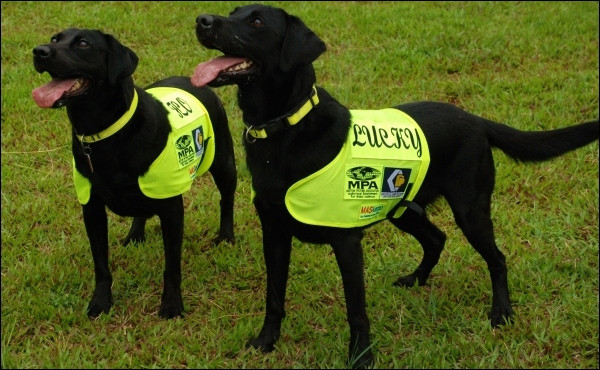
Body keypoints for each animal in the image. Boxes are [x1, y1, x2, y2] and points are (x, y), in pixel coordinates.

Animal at [31, 28, 237, 318]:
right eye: (54, 39)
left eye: (83, 43)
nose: (39, 51)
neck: (104, 135)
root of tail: (195, 80)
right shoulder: (91, 208)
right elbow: (101, 265)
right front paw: (100, 302)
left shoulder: (172, 209)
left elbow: (172, 267)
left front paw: (172, 305)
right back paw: (135, 235)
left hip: (223, 162)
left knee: (226, 199)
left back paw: (226, 237)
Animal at [192, 4, 600, 368]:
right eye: (234, 11)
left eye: (257, 21)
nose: (202, 20)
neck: (286, 125)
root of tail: (476, 119)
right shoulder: (275, 233)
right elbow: (274, 296)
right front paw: (265, 343)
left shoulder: (346, 243)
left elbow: (356, 309)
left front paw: (361, 359)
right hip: (402, 208)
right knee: (437, 239)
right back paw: (417, 279)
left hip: (470, 210)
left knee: (496, 258)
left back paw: (501, 312)